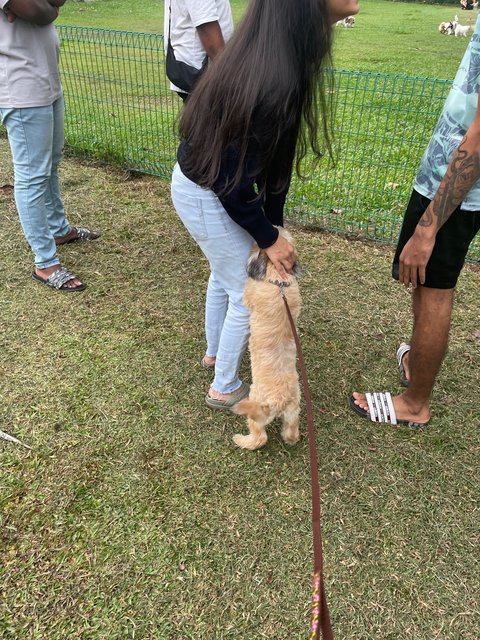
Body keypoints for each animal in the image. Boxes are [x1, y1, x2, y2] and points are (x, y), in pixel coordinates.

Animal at [232, 228, 302, 452]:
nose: (276, 227)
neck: (279, 280)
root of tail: (279, 400)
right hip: (293, 412)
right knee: (291, 432)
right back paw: (290, 439)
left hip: (256, 406)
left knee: (259, 438)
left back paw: (241, 440)